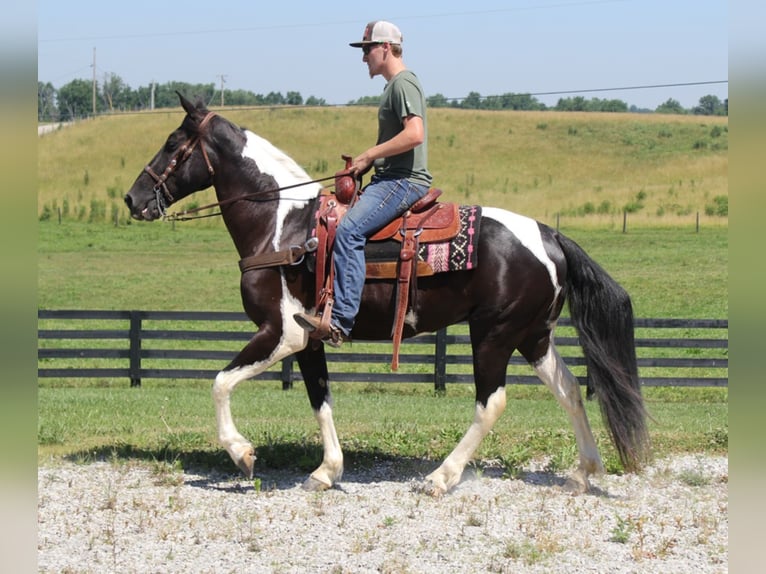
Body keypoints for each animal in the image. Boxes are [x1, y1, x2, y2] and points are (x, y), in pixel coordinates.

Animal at [124, 93, 648, 496]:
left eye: (172, 144)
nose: (133, 199)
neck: (281, 225)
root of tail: (548, 234)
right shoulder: (310, 339)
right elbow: (320, 399)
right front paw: (326, 471)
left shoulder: (281, 333)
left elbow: (220, 382)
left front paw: (242, 453)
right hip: (533, 335)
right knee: (570, 390)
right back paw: (583, 472)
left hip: (494, 334)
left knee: (491, 402)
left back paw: (441, 477)